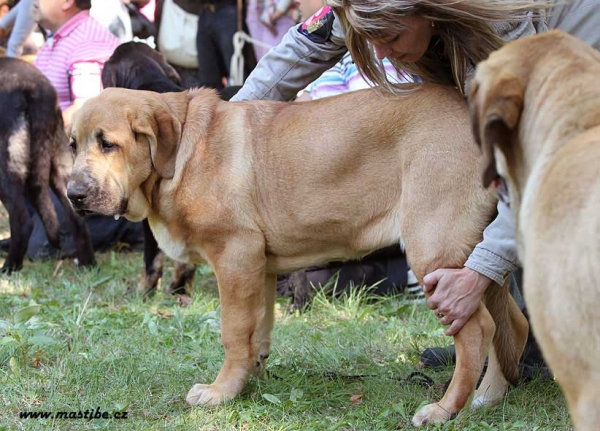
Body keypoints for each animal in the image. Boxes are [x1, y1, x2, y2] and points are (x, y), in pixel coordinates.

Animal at [0, 57, 95, 274]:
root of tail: (35, 89)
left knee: (22, 221)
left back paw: (9, 267)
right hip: (61, 165)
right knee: (76, 217)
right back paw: (87, 265)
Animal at [64, 83, 524, 426]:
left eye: (108, 144)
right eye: (72, 144)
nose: (73, 194)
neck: (180, 154)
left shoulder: (234, 256)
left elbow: (233, 332)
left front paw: (220, 391)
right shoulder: (260, 266)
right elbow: (259, 329)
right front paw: (250, 378)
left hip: (435, 250)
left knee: (476, 331)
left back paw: (445, 409)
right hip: (474, 257)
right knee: (511, 324)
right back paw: (488, 398)